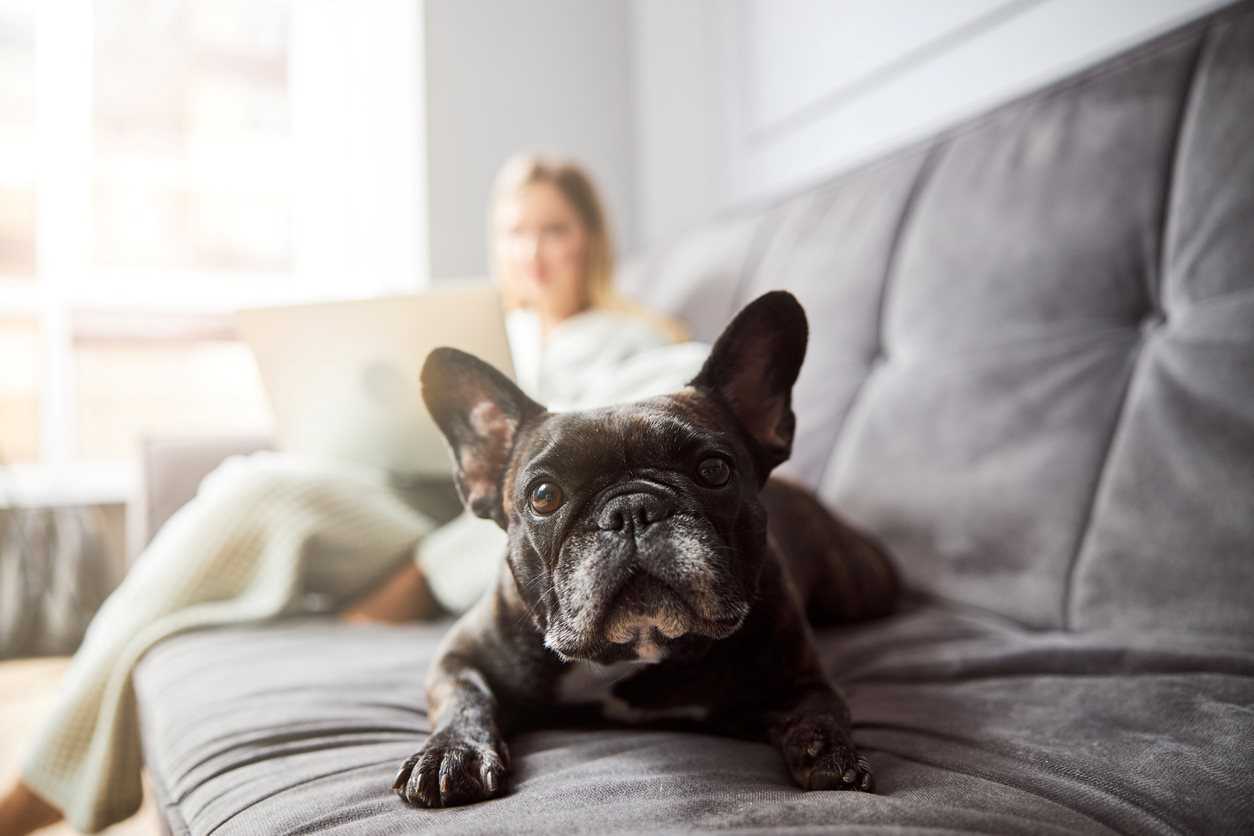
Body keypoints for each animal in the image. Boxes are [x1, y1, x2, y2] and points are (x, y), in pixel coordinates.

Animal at [396, 290, 897, 807]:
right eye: (543, 495)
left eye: (714, 470)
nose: (632, 509)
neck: (630, 653)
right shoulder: (460, 655)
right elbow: (464, 698)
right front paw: (454, 752)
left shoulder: (797, 674)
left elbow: (821, 707)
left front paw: (832, 753)